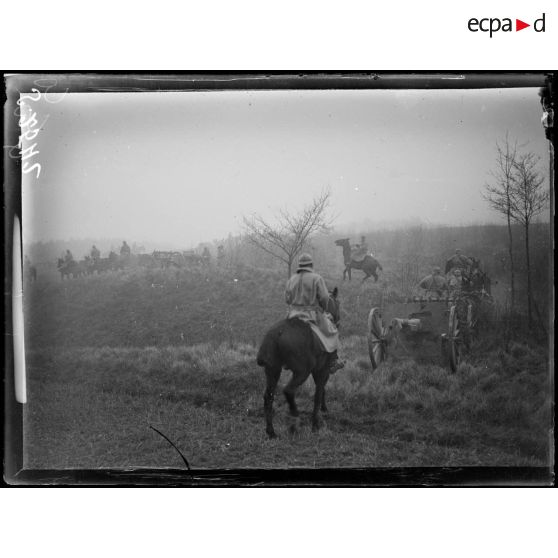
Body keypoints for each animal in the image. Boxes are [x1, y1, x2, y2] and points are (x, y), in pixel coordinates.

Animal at [258, 290, 342, 440]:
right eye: (338, 303)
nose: (337, 320)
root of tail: (276, 335)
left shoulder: (317, 371)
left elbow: (321, 390)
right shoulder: (323, 370)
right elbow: (318, 393)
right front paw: (316, 424)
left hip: (273, 370)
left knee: (269, 397)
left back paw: (271, 431)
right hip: (302, 372)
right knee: (289, 390)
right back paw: (294, 414)